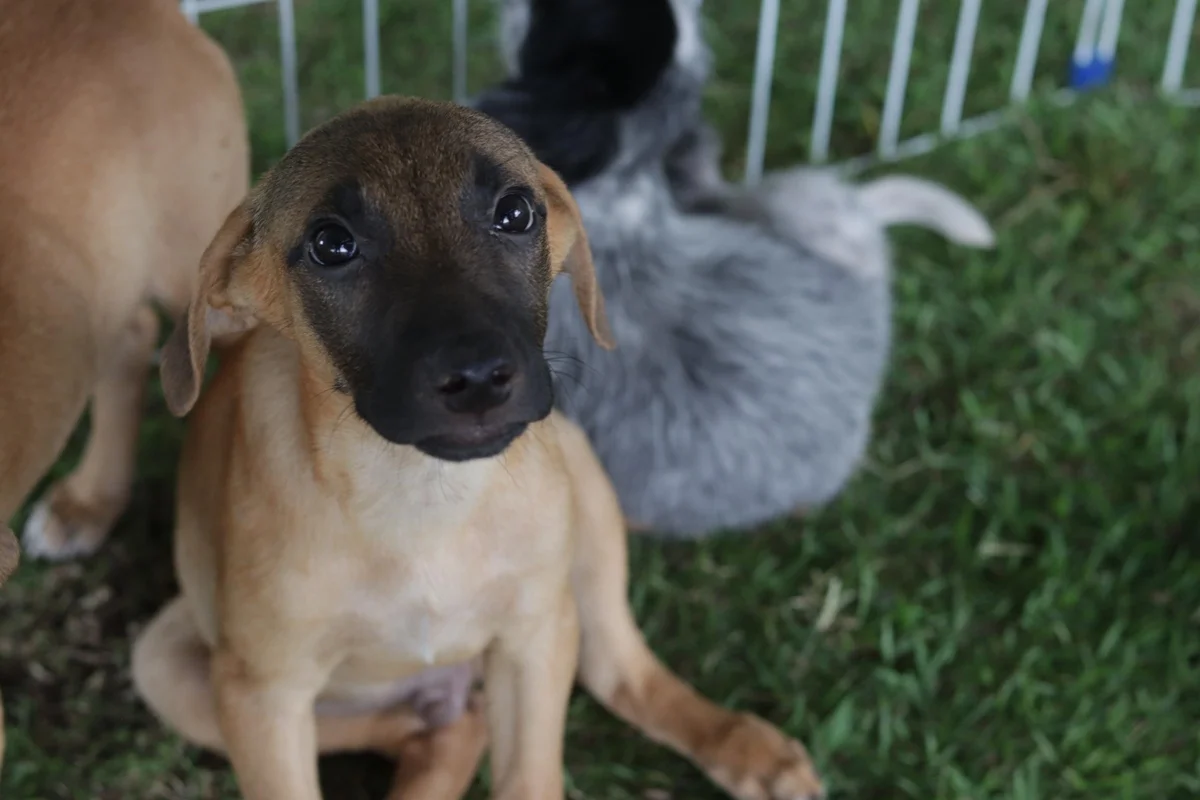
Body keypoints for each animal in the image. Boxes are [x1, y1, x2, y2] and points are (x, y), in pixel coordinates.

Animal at [131, 98, 825, 800]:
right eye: (331, 244)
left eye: (515, 213)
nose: (479, 377)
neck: (419, 494)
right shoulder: (266, 696)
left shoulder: (532, 643)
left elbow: (531, 776)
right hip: (173, 669)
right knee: (446, 729)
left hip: (581, 514)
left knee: (618, 672)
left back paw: (746, 749)